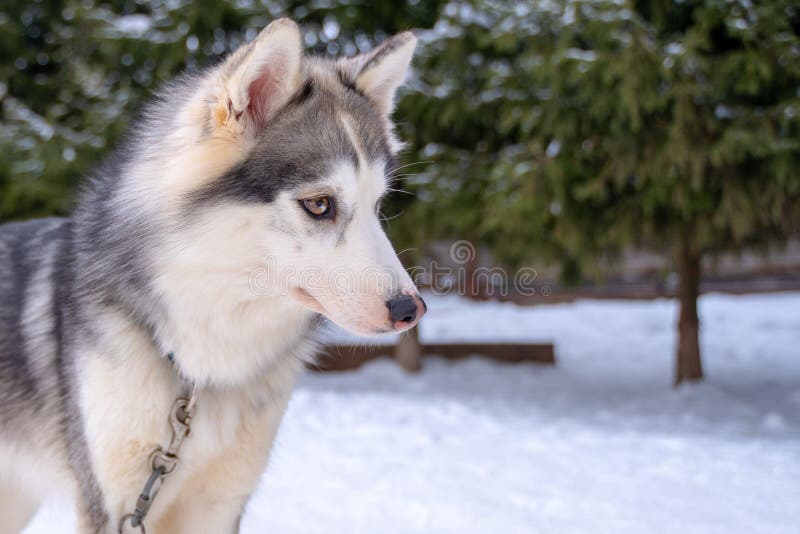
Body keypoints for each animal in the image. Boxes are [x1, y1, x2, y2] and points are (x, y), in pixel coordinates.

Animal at [0, 18, 424, 532]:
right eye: (320, 204)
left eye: (377, 205)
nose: (410, 309)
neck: (199, 368)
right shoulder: (112, 502)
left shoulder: (219, 504)